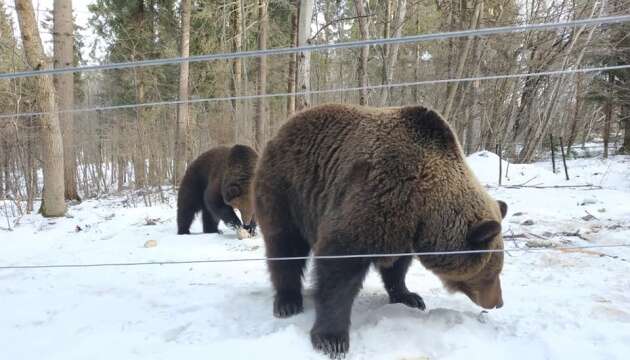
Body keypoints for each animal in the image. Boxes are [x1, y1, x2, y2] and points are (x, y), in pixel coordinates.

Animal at [256, 103, 508, 358]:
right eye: (492, 272)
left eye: (497, 269)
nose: (498, 302)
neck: (422, 204)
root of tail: (282, 127)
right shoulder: (375, 196)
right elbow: (338, 271)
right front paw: (332, 339)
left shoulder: (401, 229)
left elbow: (397, 267)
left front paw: (409, 297)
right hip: (287, 189)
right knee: (284, 246)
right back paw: (287, 301)